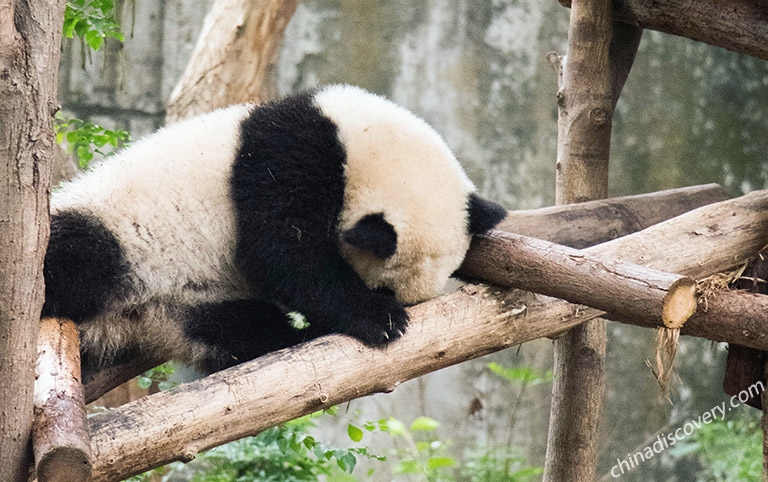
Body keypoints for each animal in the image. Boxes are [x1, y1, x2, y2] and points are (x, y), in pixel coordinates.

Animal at [45, 85, 508, 372]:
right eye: (384, 287)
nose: (391, 303)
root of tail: (122, 319)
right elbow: (281, 255)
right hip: (113, 226)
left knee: (236, 327)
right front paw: (379, 318)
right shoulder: (287, 158)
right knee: (75, 258)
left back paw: (287, 337)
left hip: (185, 305)